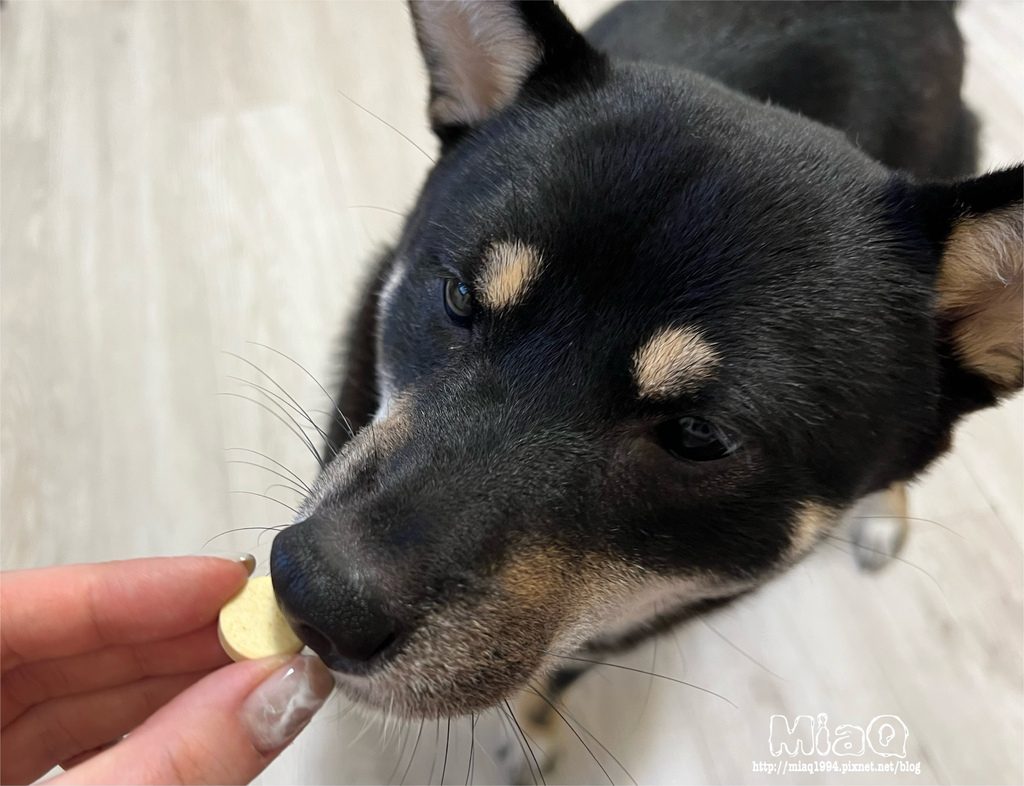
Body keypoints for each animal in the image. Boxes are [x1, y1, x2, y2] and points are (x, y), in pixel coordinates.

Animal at [268, 0, 1019, 761]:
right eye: (458, 296)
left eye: (697, 435)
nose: (311, 595)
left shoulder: (645, 609)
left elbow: (563, 668)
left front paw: (532, 731)